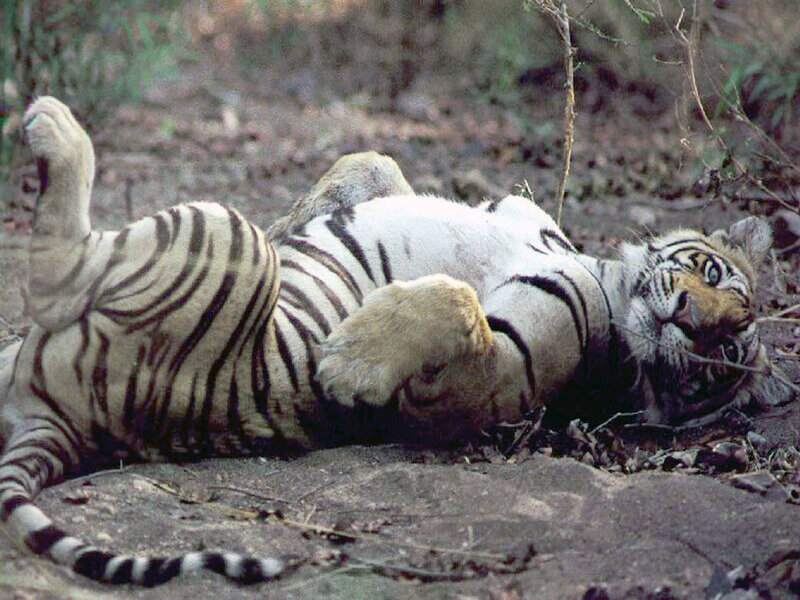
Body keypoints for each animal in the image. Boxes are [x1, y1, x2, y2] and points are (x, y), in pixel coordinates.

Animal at [0, 96, 794, 587]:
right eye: (712, 274)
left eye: (720, 356)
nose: (690, 319)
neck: (601, 266)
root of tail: (61, 422)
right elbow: (373, 161)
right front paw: (308, 219)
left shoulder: (497, 377)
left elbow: (459, 301)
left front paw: (348, 360)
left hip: (220, 229)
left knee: (61, 271)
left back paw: (54, 126)